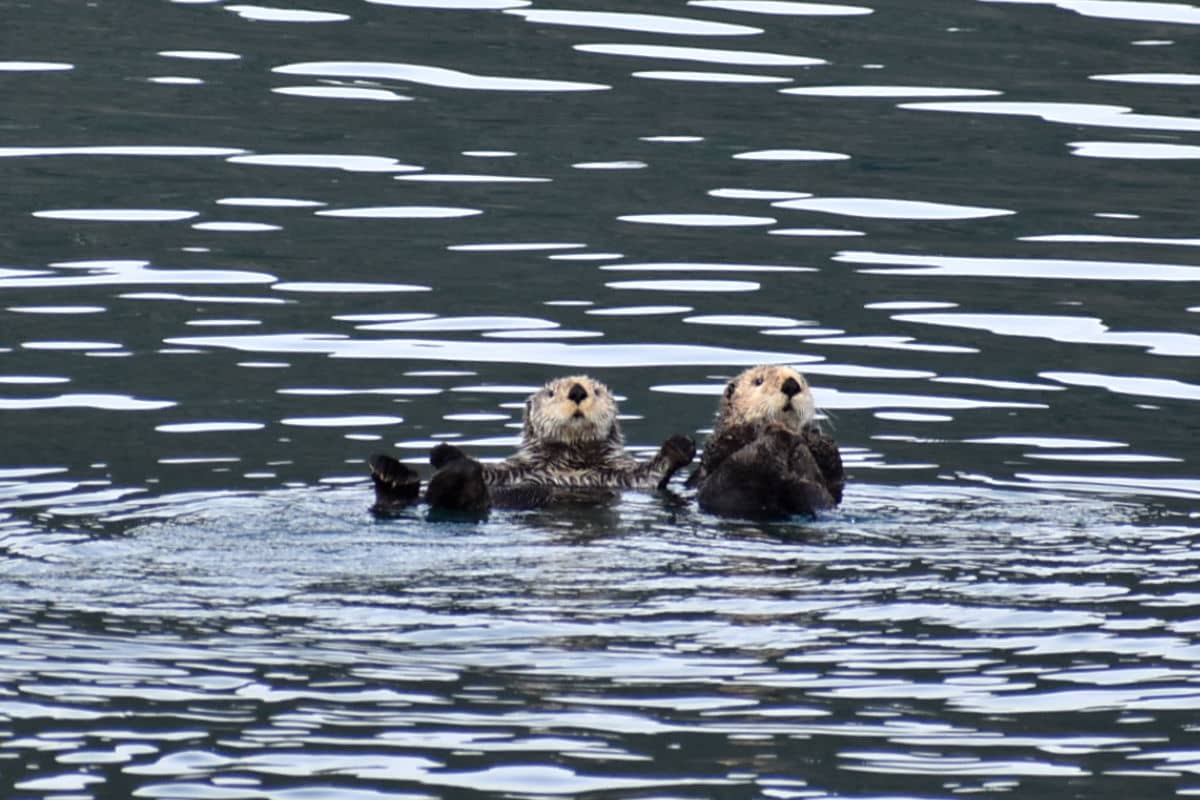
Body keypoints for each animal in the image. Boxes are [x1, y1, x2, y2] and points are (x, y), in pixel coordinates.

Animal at [369, 375, 696, 515]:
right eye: (551, 393)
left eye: (597, 391)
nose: (578, 391)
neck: (571, 459)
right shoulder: (516, 469)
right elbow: (492, 471)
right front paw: (442, 451)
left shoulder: (623, 475)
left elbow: (651, 473)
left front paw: (680, 446)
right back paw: (392, 471)